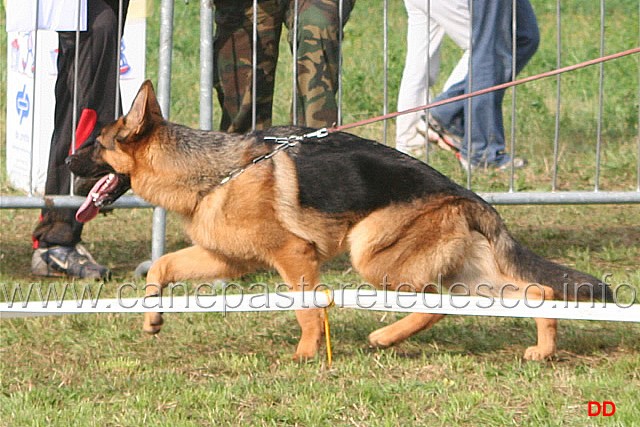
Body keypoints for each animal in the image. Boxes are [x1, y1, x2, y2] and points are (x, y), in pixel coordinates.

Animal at [67, 80, 612, 362]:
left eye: (96, 145)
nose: (67, 163)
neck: (213, 172)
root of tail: (465, 193)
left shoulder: (294, 257)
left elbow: (308, 308)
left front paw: (308, 354)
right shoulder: (227, 260)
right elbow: (161, 267)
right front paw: (153, 316)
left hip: (374, 257)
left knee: (437, 304)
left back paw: (385, 338)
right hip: (465, 271)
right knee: (534, 292)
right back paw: (543, 350)